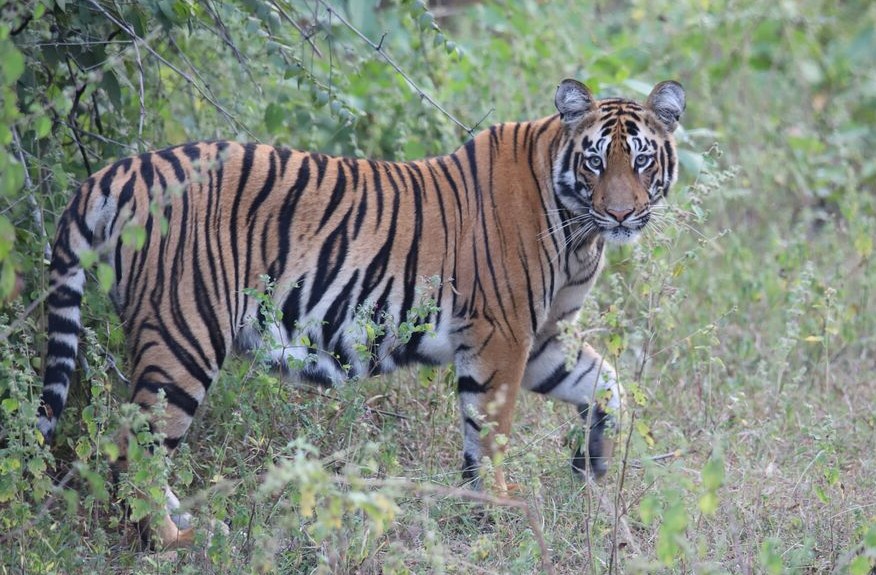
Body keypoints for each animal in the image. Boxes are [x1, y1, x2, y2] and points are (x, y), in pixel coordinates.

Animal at [39, 77, 684, 548]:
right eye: (596, 162)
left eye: (641, 161)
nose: (621, 214)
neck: (580, 233)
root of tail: (117, 170)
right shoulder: (504, 336)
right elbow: (491, 433)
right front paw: (500, 513)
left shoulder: (543, 338)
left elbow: (605, 383)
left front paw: (589, 469)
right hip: (184, 333)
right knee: (137, 451)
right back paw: (171, 539)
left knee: (133, 443)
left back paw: (192, 521)